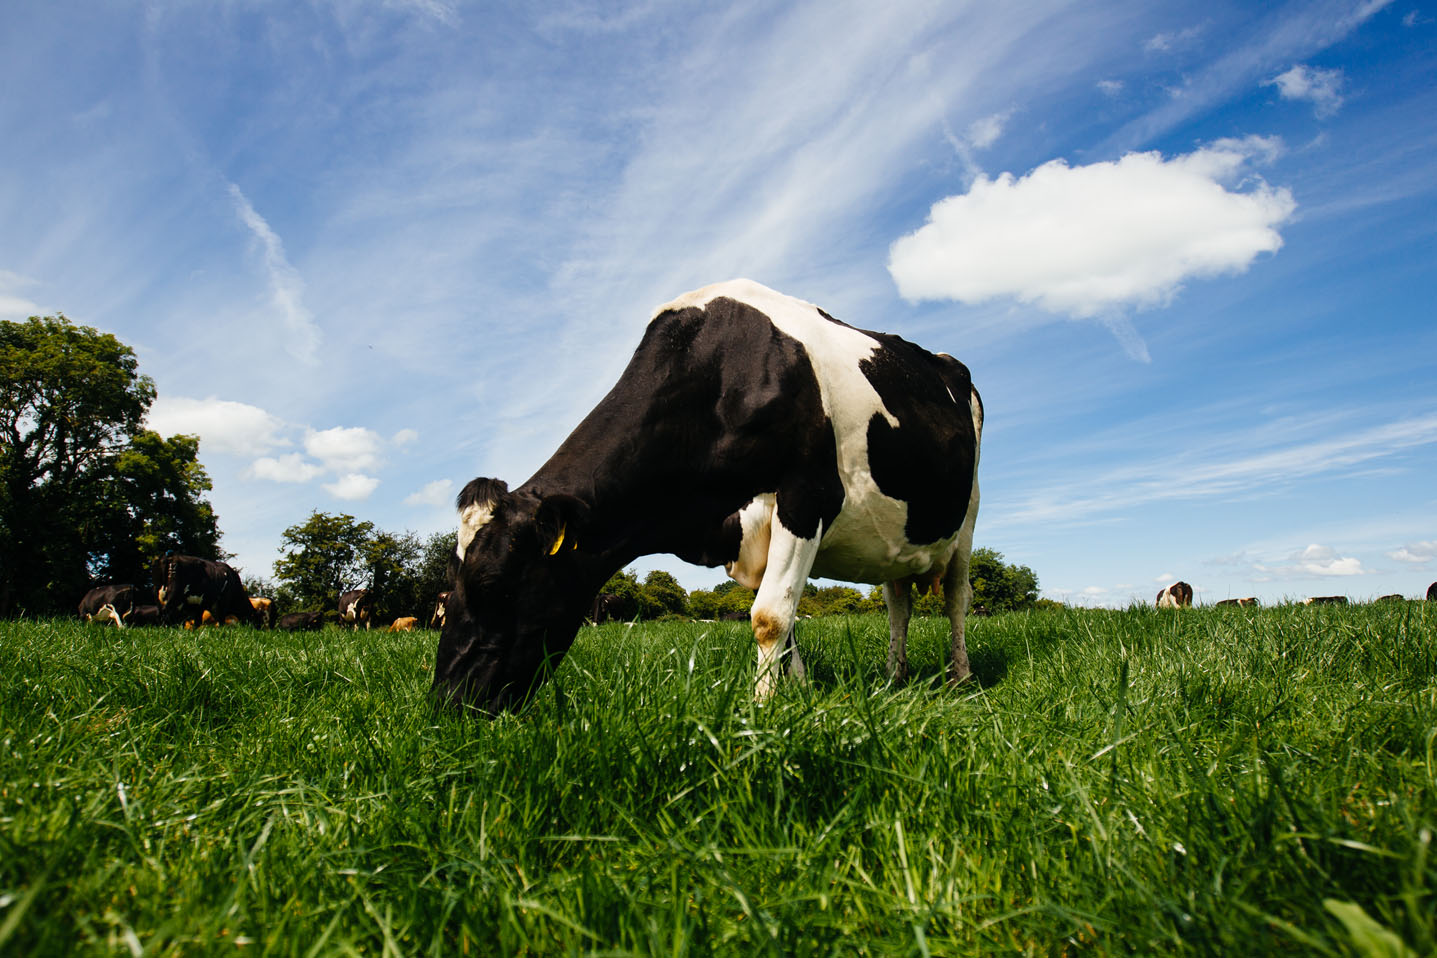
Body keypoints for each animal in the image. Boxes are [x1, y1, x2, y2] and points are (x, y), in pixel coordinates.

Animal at [431, 277, 982, 712]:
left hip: (968, 519)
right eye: (447, 589)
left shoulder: (808, 495)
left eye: (496, 587)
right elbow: (787, 619)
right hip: (897, 543)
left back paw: (961, 677)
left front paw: (762, 709)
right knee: (898, 604)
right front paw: (798, 694)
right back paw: (894, 678)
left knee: (957, 597)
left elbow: (769, 616)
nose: (447, 705)